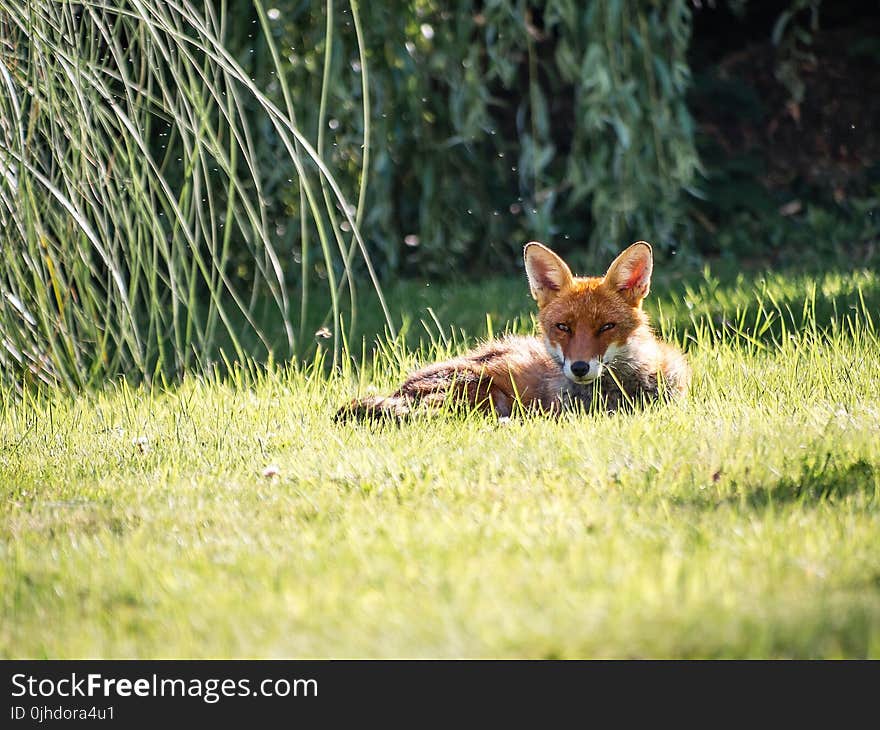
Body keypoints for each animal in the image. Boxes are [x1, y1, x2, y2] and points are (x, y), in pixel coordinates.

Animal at [336, 240, 688, 418]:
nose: (579, 367)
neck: (621, 391)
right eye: (563, 327)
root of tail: (400, 389)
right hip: (485, 392)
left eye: (606, 327)